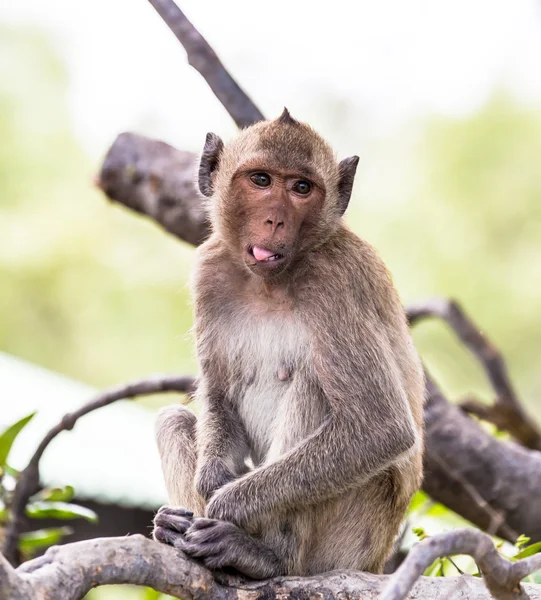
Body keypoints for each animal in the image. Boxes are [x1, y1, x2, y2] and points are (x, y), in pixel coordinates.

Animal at [151, 109, 422, 580]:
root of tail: (377, 562)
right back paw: (177, 528)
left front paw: (227, 504)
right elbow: (218, 392)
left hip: (350, 539)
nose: (275, 220)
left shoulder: (335, 282)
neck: (270, 283)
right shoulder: (210, 270)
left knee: (315, 383)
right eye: (261, 180)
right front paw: (212, 480)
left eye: (301, 188)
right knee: (174, 419)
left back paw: (264, 556)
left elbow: (382, 427)